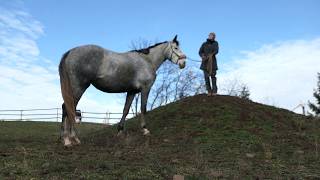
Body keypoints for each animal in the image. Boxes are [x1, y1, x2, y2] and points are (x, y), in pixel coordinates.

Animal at [58, 35, 186, 146]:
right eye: (176, 48)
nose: (183, 63)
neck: (147, 61)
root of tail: (70, 52)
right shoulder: (145, 88)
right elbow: (143, 108)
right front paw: (145, 130)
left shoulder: (132, 91)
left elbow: (126, 110)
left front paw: (120, 131)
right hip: (78, 87)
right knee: (67, 108)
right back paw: (69, 139)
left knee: (70, 108)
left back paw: (70, 138)